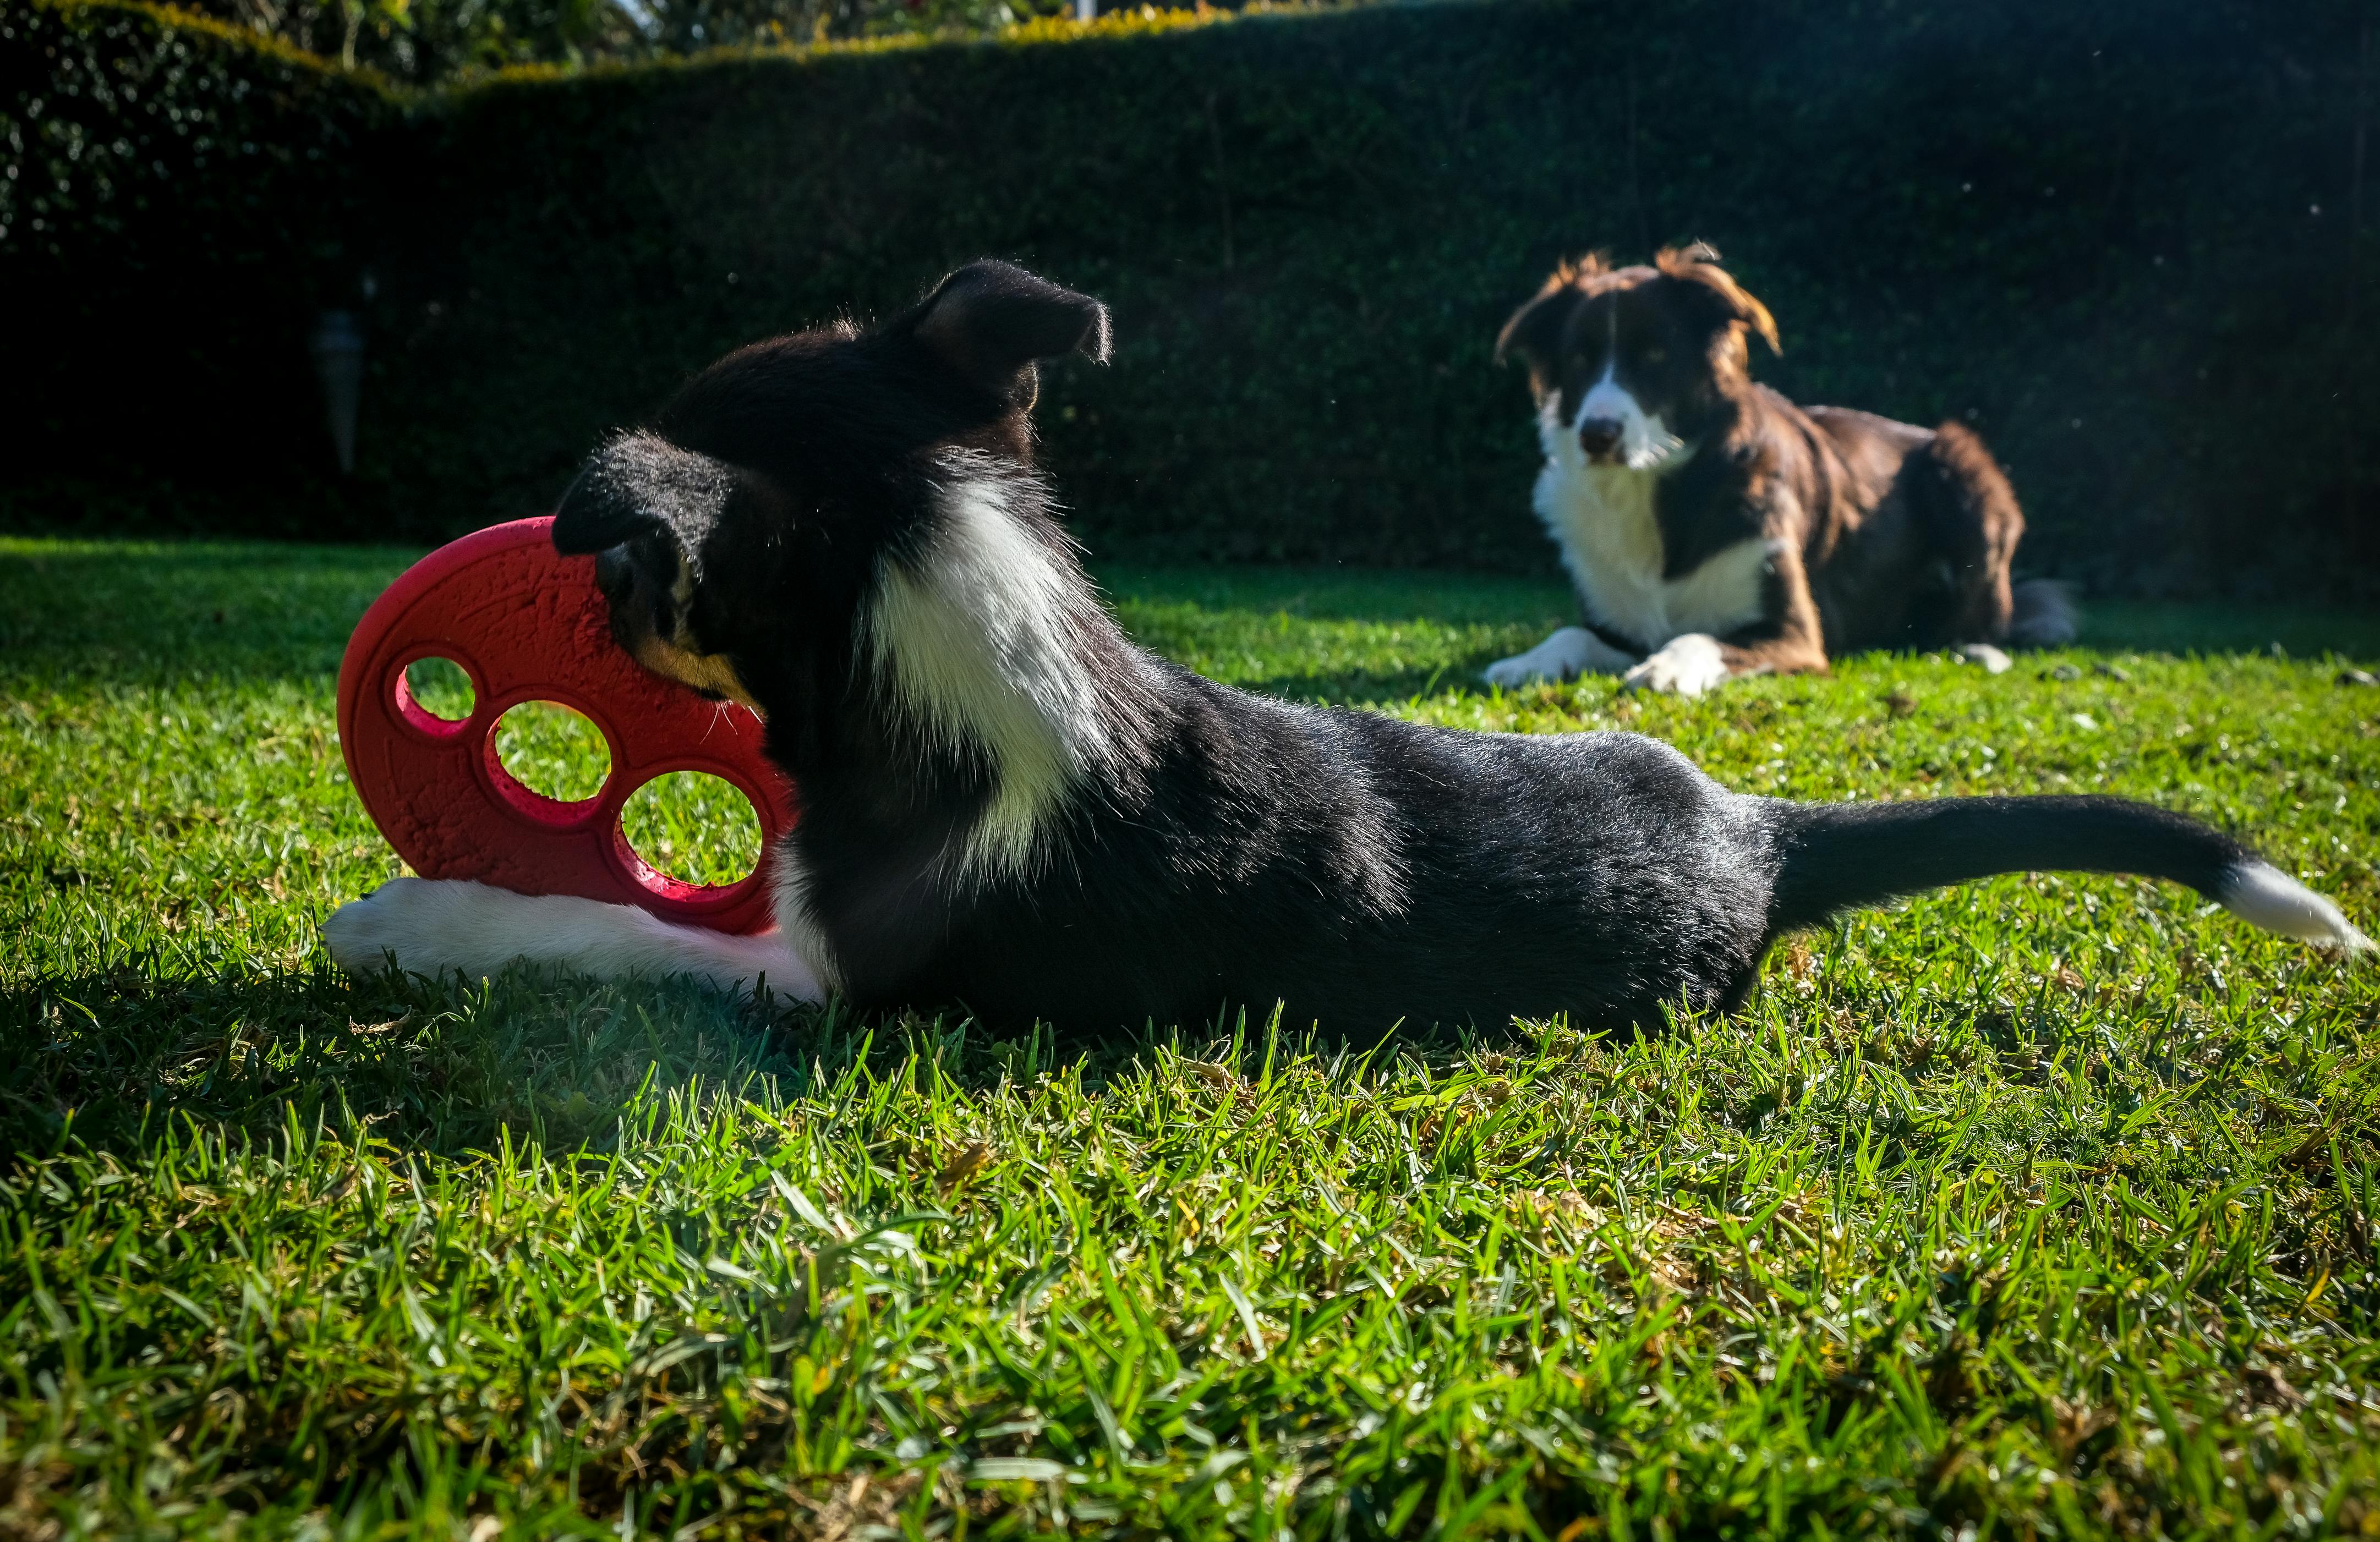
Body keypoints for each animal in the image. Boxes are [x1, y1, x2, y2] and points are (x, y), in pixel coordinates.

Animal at [1475, 249, 2075, 699]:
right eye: (1578, 360)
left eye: (1655, 355)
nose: (1596, 435)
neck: (1658, 492)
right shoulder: (1615, 621)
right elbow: (1571, 632)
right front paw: (1525, 661)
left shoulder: (1795, 634)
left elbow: (1702, 635)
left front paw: (1668, 666)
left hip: (1966, 472)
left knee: (1986, 617)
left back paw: (1978, 649)